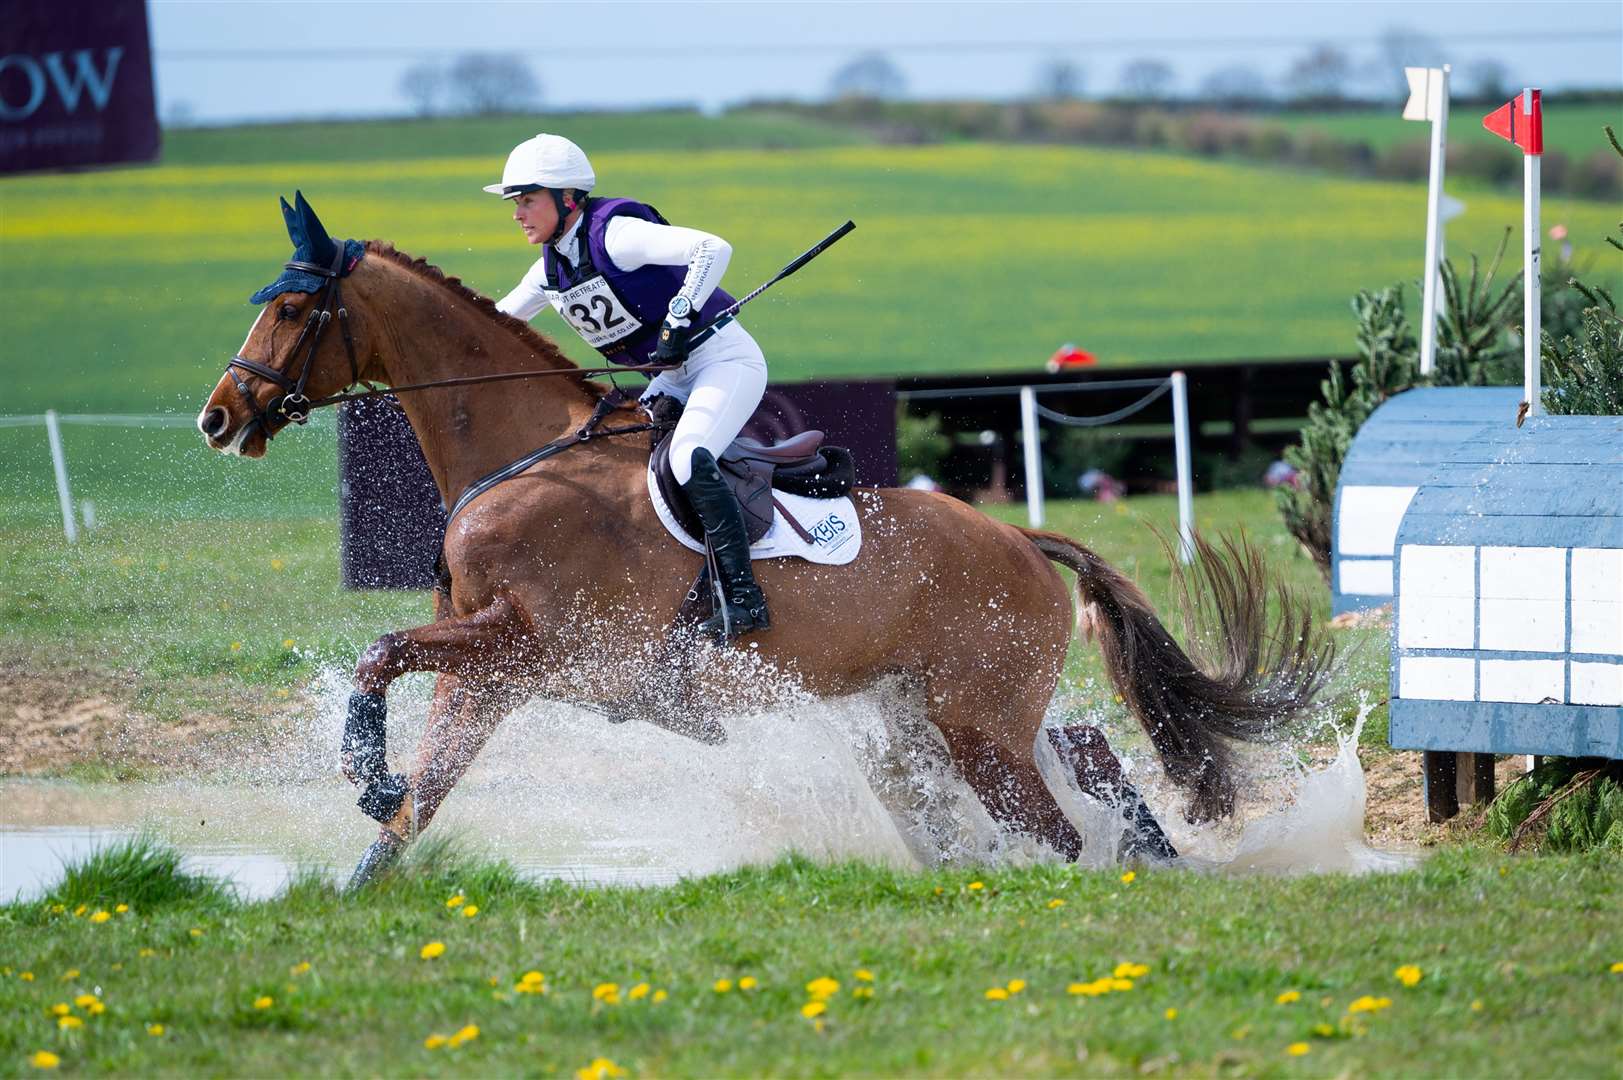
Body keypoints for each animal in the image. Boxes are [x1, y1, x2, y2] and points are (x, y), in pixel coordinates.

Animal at [196, 195, 1330, 883]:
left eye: (293, 310)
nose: (218, 417)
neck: (521, 458)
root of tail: (1016, 539)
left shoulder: (538, 645)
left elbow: (380, 655)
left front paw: (364, 775)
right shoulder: (494, 668)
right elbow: (422, 788)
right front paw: (366, 843)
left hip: (973, 720)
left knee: (1046, 820)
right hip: (934, 710)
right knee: (1083, 750)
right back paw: (1150, 861)